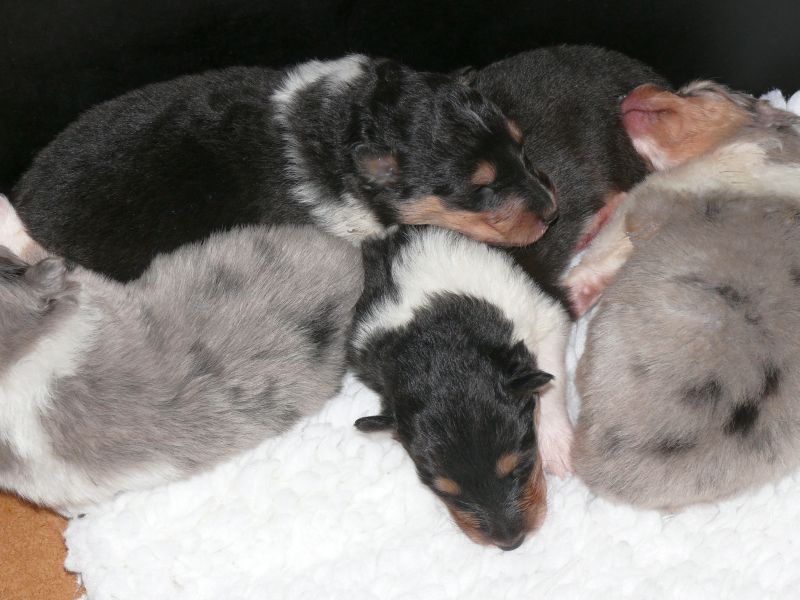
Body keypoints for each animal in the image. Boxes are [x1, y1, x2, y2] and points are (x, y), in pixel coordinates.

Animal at [347, 226, 571, 550]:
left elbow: (552, 380)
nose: (511, 543)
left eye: (518, 468)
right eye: (445, 490)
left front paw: (558, 446)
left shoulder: (548, 312)